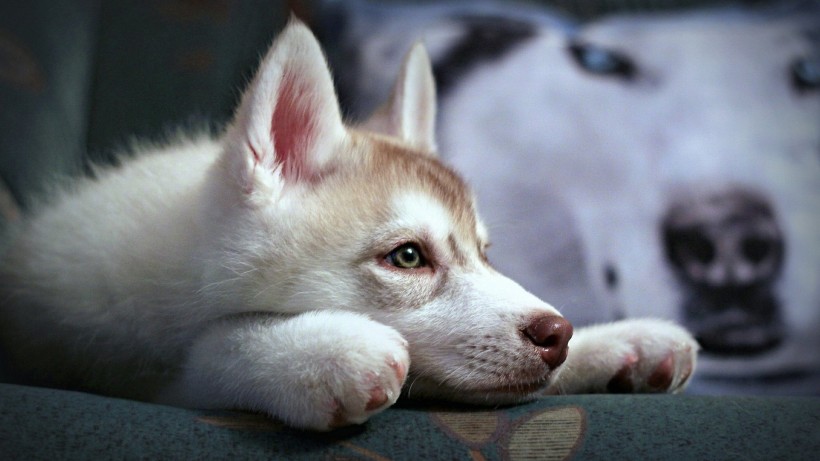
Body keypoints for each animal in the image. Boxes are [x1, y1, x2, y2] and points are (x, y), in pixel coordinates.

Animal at [0, 20, 700, 432]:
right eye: (409, 256)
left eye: (486, 252)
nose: (558, 333)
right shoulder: (97, 358)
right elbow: (208, 354)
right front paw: (316, 353)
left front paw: (615, 343)